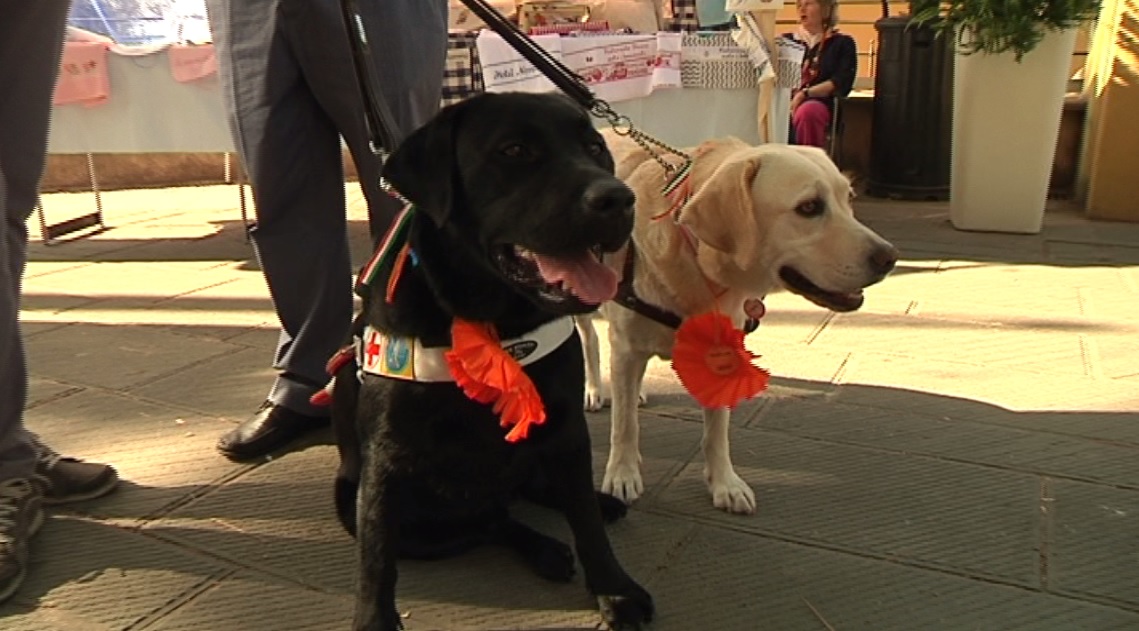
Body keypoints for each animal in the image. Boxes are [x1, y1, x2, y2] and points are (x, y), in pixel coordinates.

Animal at [332, 92, 651, 628]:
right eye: (515, 150)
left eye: (594, 147)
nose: (618, 199)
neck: (493, 324)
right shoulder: (385, 460)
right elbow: (375, 562)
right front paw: (373, 620)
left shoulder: (566, 427)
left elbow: (584, 518)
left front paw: (615, 588)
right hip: (363, 502)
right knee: (492, 521)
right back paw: (545, 550)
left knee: (533, 499)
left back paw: (591, 512)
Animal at [578, 130, 897, 512]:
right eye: (809, 207)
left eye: (848, 199)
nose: (889, 258)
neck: (700, 269)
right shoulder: (626, 348)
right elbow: (625, 425)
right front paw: (622, 475)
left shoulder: (723, 352)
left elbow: (717, 430)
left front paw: (724, 483)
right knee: (590, 340)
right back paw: (595, 390)